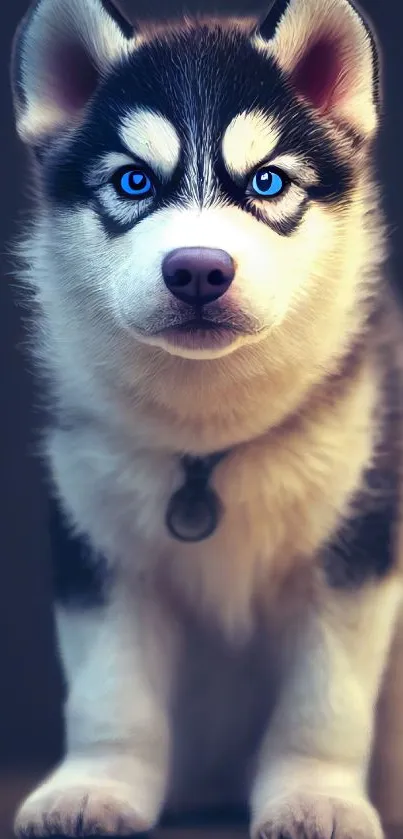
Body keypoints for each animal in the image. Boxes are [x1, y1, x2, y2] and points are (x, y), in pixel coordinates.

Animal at [10, 0, 403, 836]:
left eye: (267, 181)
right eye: (132, 180)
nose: (197, 269)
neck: (207, 436)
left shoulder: (357, 537)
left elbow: (324, 697)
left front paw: (314, 796)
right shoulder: (96, 533)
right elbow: (109, 686)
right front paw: (93, 785)